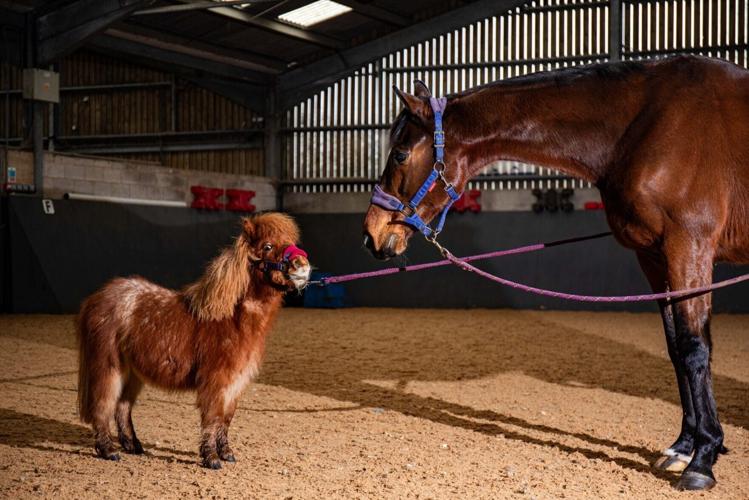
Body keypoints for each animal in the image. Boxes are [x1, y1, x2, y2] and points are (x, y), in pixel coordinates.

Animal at [76, 212, 311, 469]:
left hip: (132, 373)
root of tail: (97, 298)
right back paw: (108, 451)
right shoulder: (215, 381)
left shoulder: (235, 383)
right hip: (108, 367)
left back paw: (133, 446)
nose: (302, 266)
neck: (230, 319)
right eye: (267, 246)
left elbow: (225, 419)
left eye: (292, 242)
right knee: (103, 404)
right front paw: (211, 458)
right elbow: (212, 418)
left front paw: (226, 453)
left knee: (122, 407)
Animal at [362, 55, 749, 491]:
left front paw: (703, 459)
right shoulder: (654, 257)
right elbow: (674, 348)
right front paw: (683, 446)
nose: (372, 233)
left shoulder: (689, 248)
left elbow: (695, 347)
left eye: (400, 154)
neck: (646, 124)